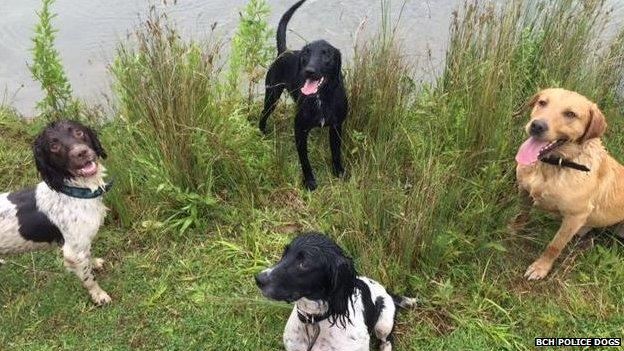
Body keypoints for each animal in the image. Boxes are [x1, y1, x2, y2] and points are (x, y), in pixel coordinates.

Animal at [0, 120, 112, 306]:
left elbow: (88, 259)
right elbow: (89, 278)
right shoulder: (73, 252)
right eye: (53, 146)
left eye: (78, 132)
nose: (81, 152)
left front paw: (94, 262)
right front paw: (99, 295)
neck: (72, 191)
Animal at [254, 232, 414, 350]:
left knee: (387, 340)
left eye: (304, 263)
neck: (314, 321)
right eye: (285, 253)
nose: (258, 279)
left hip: (383, 325)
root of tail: (386, 291)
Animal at [258, 0, 348, 191]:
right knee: (263, 115)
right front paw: (309, 182)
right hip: (272, 96)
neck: (321, 98)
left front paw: (339, 172)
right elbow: (304, 160)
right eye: (306, 53)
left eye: (326, 54)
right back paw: (262, 133)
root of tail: (283, 51)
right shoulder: (300, 130)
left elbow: (336, 153)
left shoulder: (336, 127)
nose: (309, 71)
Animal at [516, 88, 620, 280]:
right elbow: (521, 215)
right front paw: (511, 230)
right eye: (542, 102)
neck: (554, 165)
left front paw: (541, 268)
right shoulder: (524, 191)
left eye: (570, 114)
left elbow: (554, 246)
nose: (537, 126)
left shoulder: (575, 217)